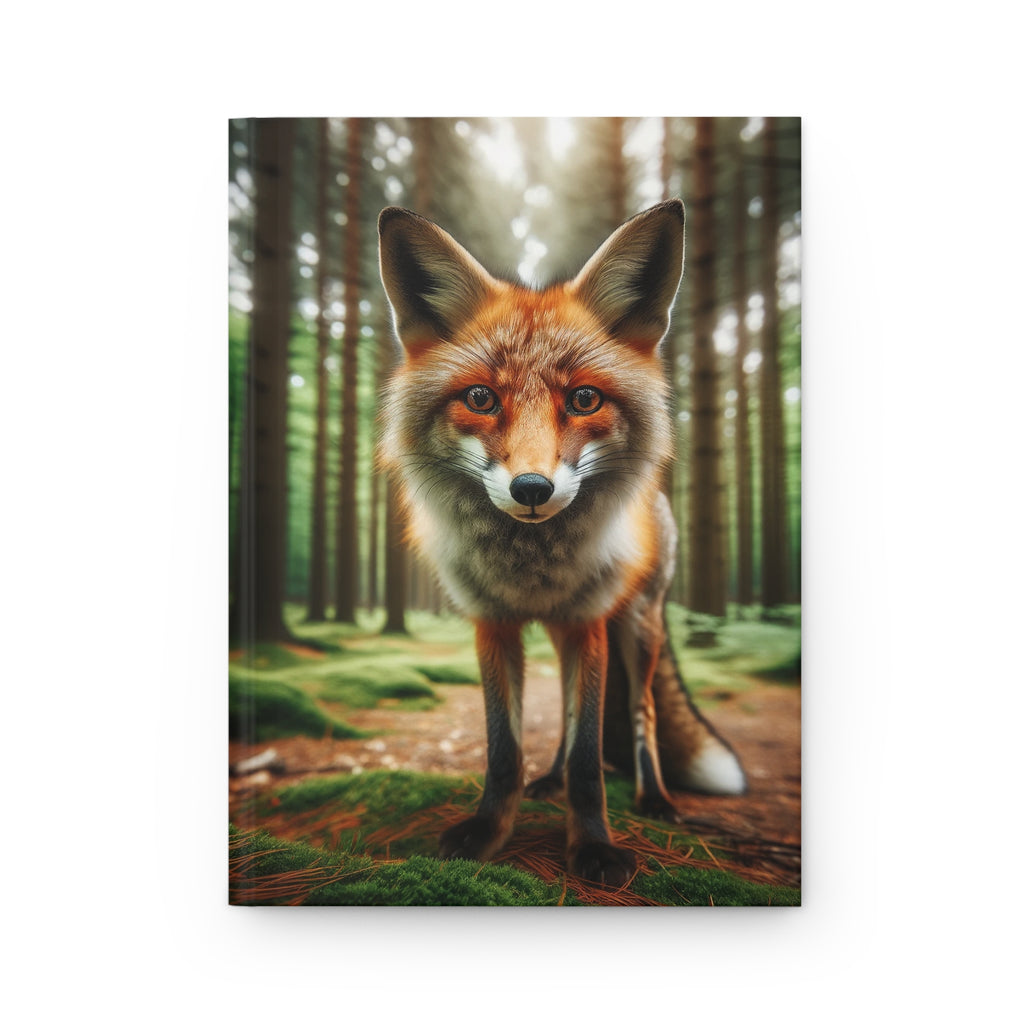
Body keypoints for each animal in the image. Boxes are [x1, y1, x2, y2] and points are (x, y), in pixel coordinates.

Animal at [377, 200, 745, 887]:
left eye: (584, 398)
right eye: (480, 398)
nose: (531, 488)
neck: (532, 570)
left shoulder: (586, 621)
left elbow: (588, 755)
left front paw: (593, 846)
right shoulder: (494, 623)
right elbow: (506, 748)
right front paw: (488, 832)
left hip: (638, 625)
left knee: (640, 713)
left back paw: (655, 798)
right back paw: (546, 781)